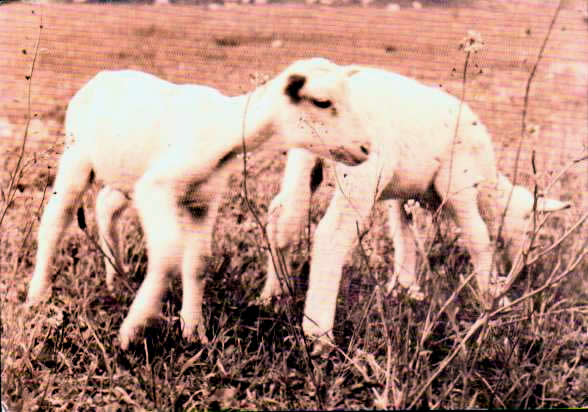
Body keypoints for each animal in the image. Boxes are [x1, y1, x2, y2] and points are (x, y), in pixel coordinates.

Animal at [25, 57, 372, 348]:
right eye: (322, 102)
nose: (366, 148)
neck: (224, 130)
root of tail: (101, 77)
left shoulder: (202, 200)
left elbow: (199, 262)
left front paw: (193, 330)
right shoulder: (157, 187)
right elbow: (168, 253)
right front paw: (134, 328)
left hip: (124, 172)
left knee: (106, 205)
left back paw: (117, 277)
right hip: (77, 156)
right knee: (56, 220)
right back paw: (38, 295)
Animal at [260, 65, 568, 348]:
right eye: (529, 230)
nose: (521, 272)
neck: (489, 189)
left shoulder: (401, 194)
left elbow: (403, 235)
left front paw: (405, 287)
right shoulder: (459, 185)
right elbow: (479, 238)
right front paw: (493, 296)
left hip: (304, 158)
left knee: (282, 219)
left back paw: (274, 295)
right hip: (361, 173)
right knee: (331, 236)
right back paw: (319, 333)